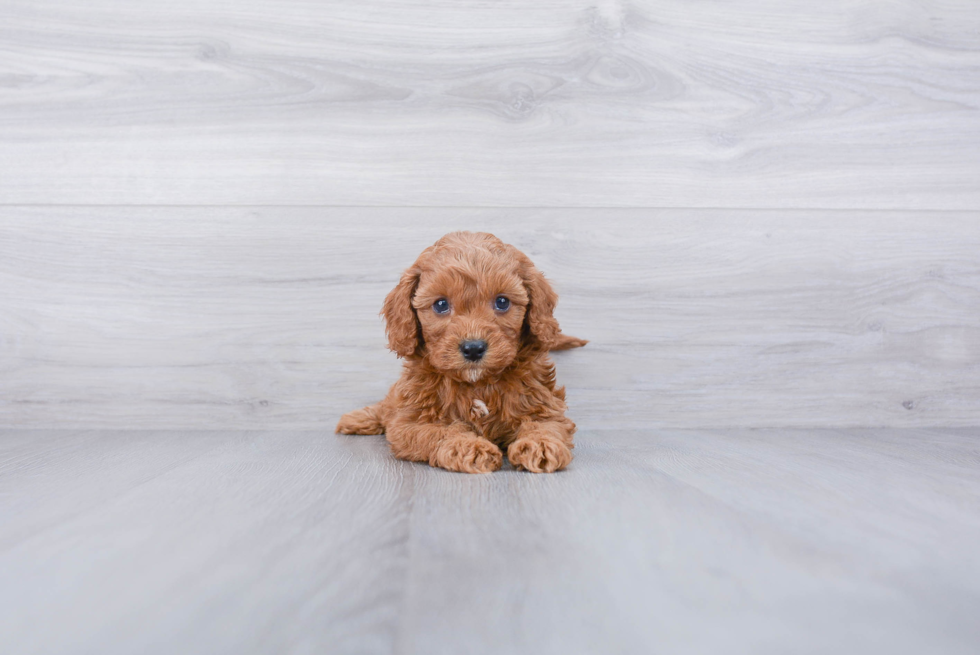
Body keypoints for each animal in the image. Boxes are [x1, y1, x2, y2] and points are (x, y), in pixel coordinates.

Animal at [336, 233, 580, 474]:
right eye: (441, 304)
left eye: (502, 302)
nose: (473, 348)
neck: (477, 384)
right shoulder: (410, 423)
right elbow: (443, 431)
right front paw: (471, 447)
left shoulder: (545, 404)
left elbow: (545, 424)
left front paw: (540, 443)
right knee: (386, 406)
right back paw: (356, 419)